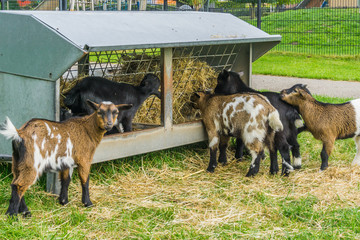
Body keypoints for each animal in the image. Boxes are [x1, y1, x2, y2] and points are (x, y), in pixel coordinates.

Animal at [0, 100, 133, 217]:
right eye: (99, 112)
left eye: (116, 112)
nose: (109, 124)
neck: (88, 129)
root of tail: (20, 134)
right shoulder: (84, 159)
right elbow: (85, 180)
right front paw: (88, 203)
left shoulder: (66, 162)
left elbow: (65, 180)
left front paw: (64, 202)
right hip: (32, 163)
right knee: (19, 185)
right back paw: (12, 215)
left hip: (18, 161)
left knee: (15, 182)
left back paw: (25, 212)